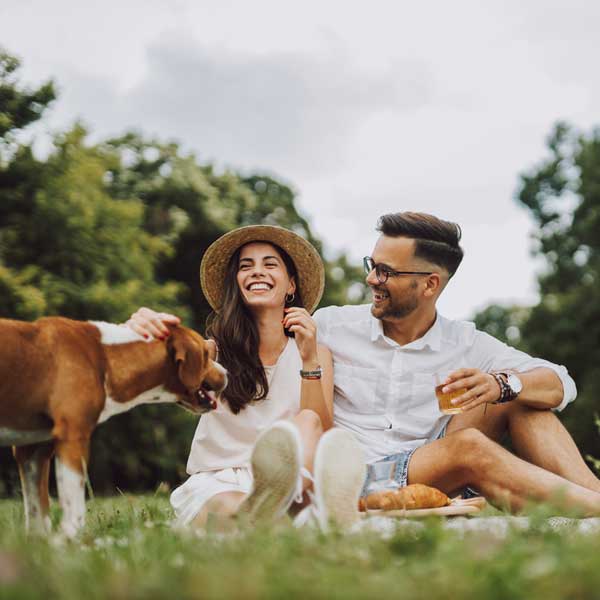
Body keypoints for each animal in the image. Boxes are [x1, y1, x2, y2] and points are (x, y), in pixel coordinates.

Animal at [0, 318, 227, 540]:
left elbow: (37, 512)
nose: (227, 372)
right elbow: (74, 506)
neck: (104, 355)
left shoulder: (32, 449)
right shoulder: (72, 435)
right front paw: (71, 542)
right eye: (206, 354)